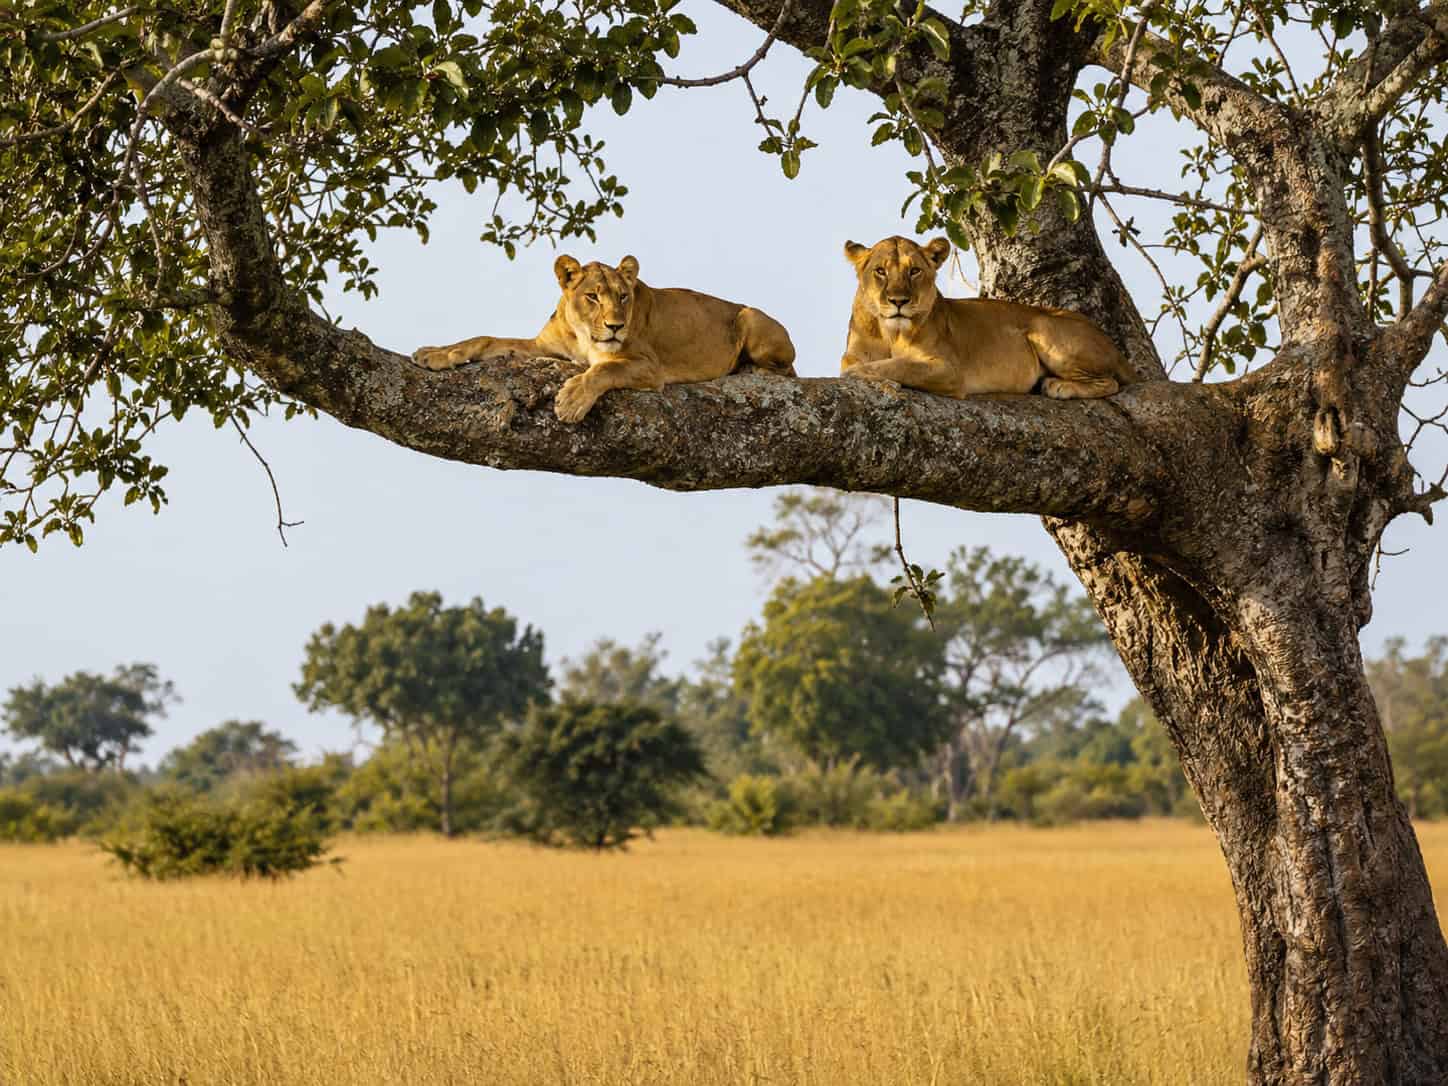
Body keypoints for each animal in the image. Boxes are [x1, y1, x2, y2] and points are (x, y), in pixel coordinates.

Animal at [412, 254, 797, 422]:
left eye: (623, 296)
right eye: (593, 297)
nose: (615, 326)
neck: (584, 335)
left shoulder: (649, 367)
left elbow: (603, 371)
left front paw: (571, 402)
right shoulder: (544, 348)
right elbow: (486, 339)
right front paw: (435, 354)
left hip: (750, 316)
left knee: (788, 370)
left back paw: (750, 370)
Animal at [839, 235, 1135, 399]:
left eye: (914, 271)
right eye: (880, 271)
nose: (898, 301)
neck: (891, 333)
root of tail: (1113, 346)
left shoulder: (949, 369)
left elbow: (897, 365)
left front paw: (866, 374)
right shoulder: (853, 352)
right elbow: (858, 363)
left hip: (1044, 326)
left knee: (1111, 382)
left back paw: (1058, 386)